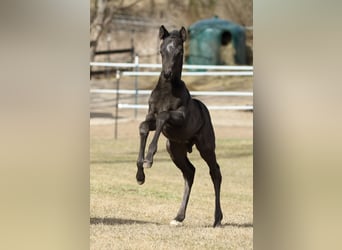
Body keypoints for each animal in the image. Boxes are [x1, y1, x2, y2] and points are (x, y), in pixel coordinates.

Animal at [136, 25, 224, 229]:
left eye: (179, 51)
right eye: (161, 51)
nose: (167, 74)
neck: (166, 91)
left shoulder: (179, 117)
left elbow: (164, 116)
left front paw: (149, 158)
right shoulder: (150, 118)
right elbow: (143, 127)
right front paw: (140, 175)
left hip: (206, 146)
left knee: (215, 172)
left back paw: (217, 219)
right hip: (174, 149)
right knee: (189, 173)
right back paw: (178, 217)